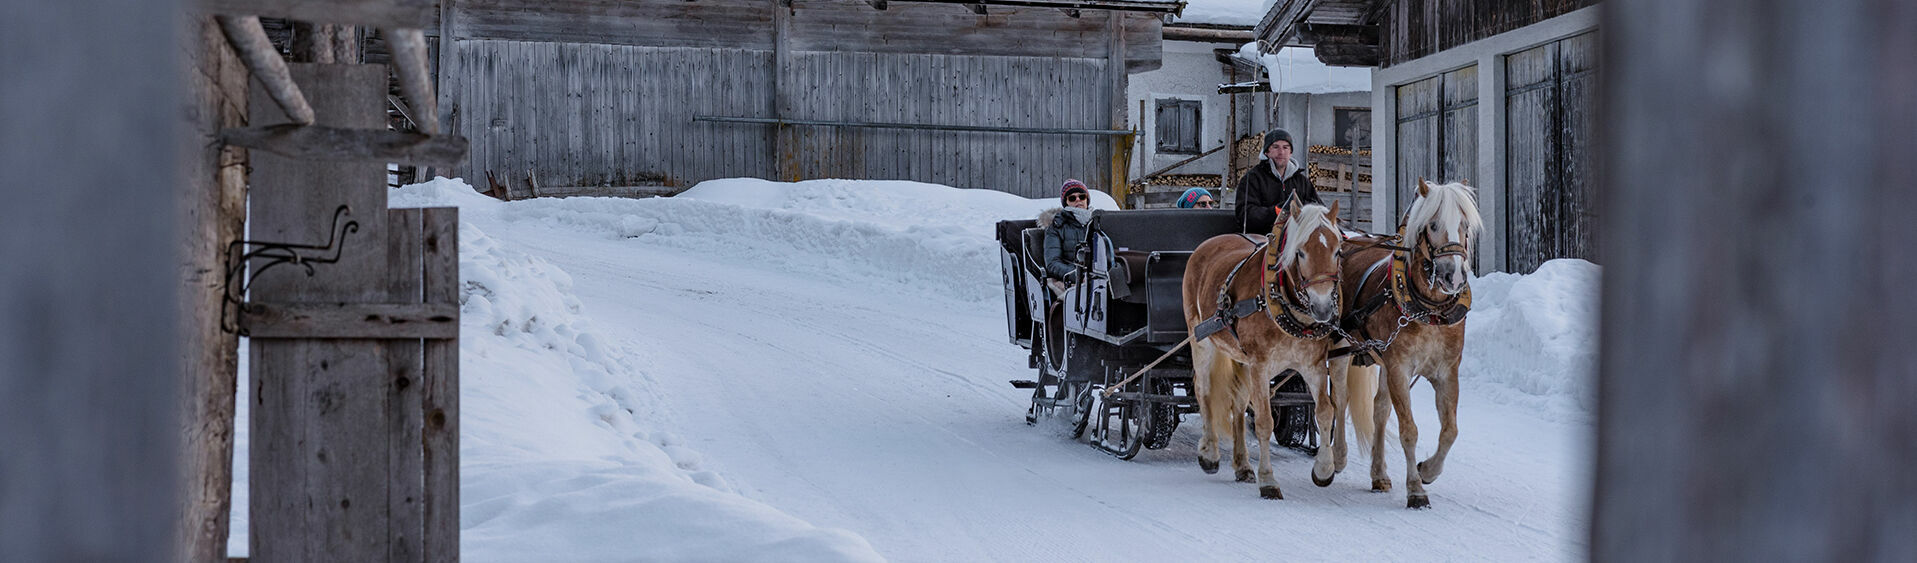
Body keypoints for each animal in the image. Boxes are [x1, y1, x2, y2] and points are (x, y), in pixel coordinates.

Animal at [1173, 195, 1357, 497]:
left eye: (1338, 252)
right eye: (1300, 253)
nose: (1322, 309)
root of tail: (1207, 244)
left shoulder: (1313, 365)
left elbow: (1325, 410)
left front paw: (1324, 469)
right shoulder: (1260, 365)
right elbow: (1264, 421)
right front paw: (1268, 480)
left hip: (1241, 357)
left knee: (1237, 401)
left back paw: (1242, 464)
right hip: (1200, 337)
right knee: (1204, 390)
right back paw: (1209, 453)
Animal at [1334, 178, 1479, 509]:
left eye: (1464, 224)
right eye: (1433, 224)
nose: (1453, 277)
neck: (1430, 310)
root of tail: (1347, 240)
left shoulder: (1446, 371)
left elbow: (1450, 430)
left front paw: (1427, 471)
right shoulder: (1400, 368)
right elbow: (1408, 429)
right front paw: (1415, 489)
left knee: (1379, 409)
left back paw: (1378, 474)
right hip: (1338, 345)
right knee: (1339, 399)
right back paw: (1335, 458)